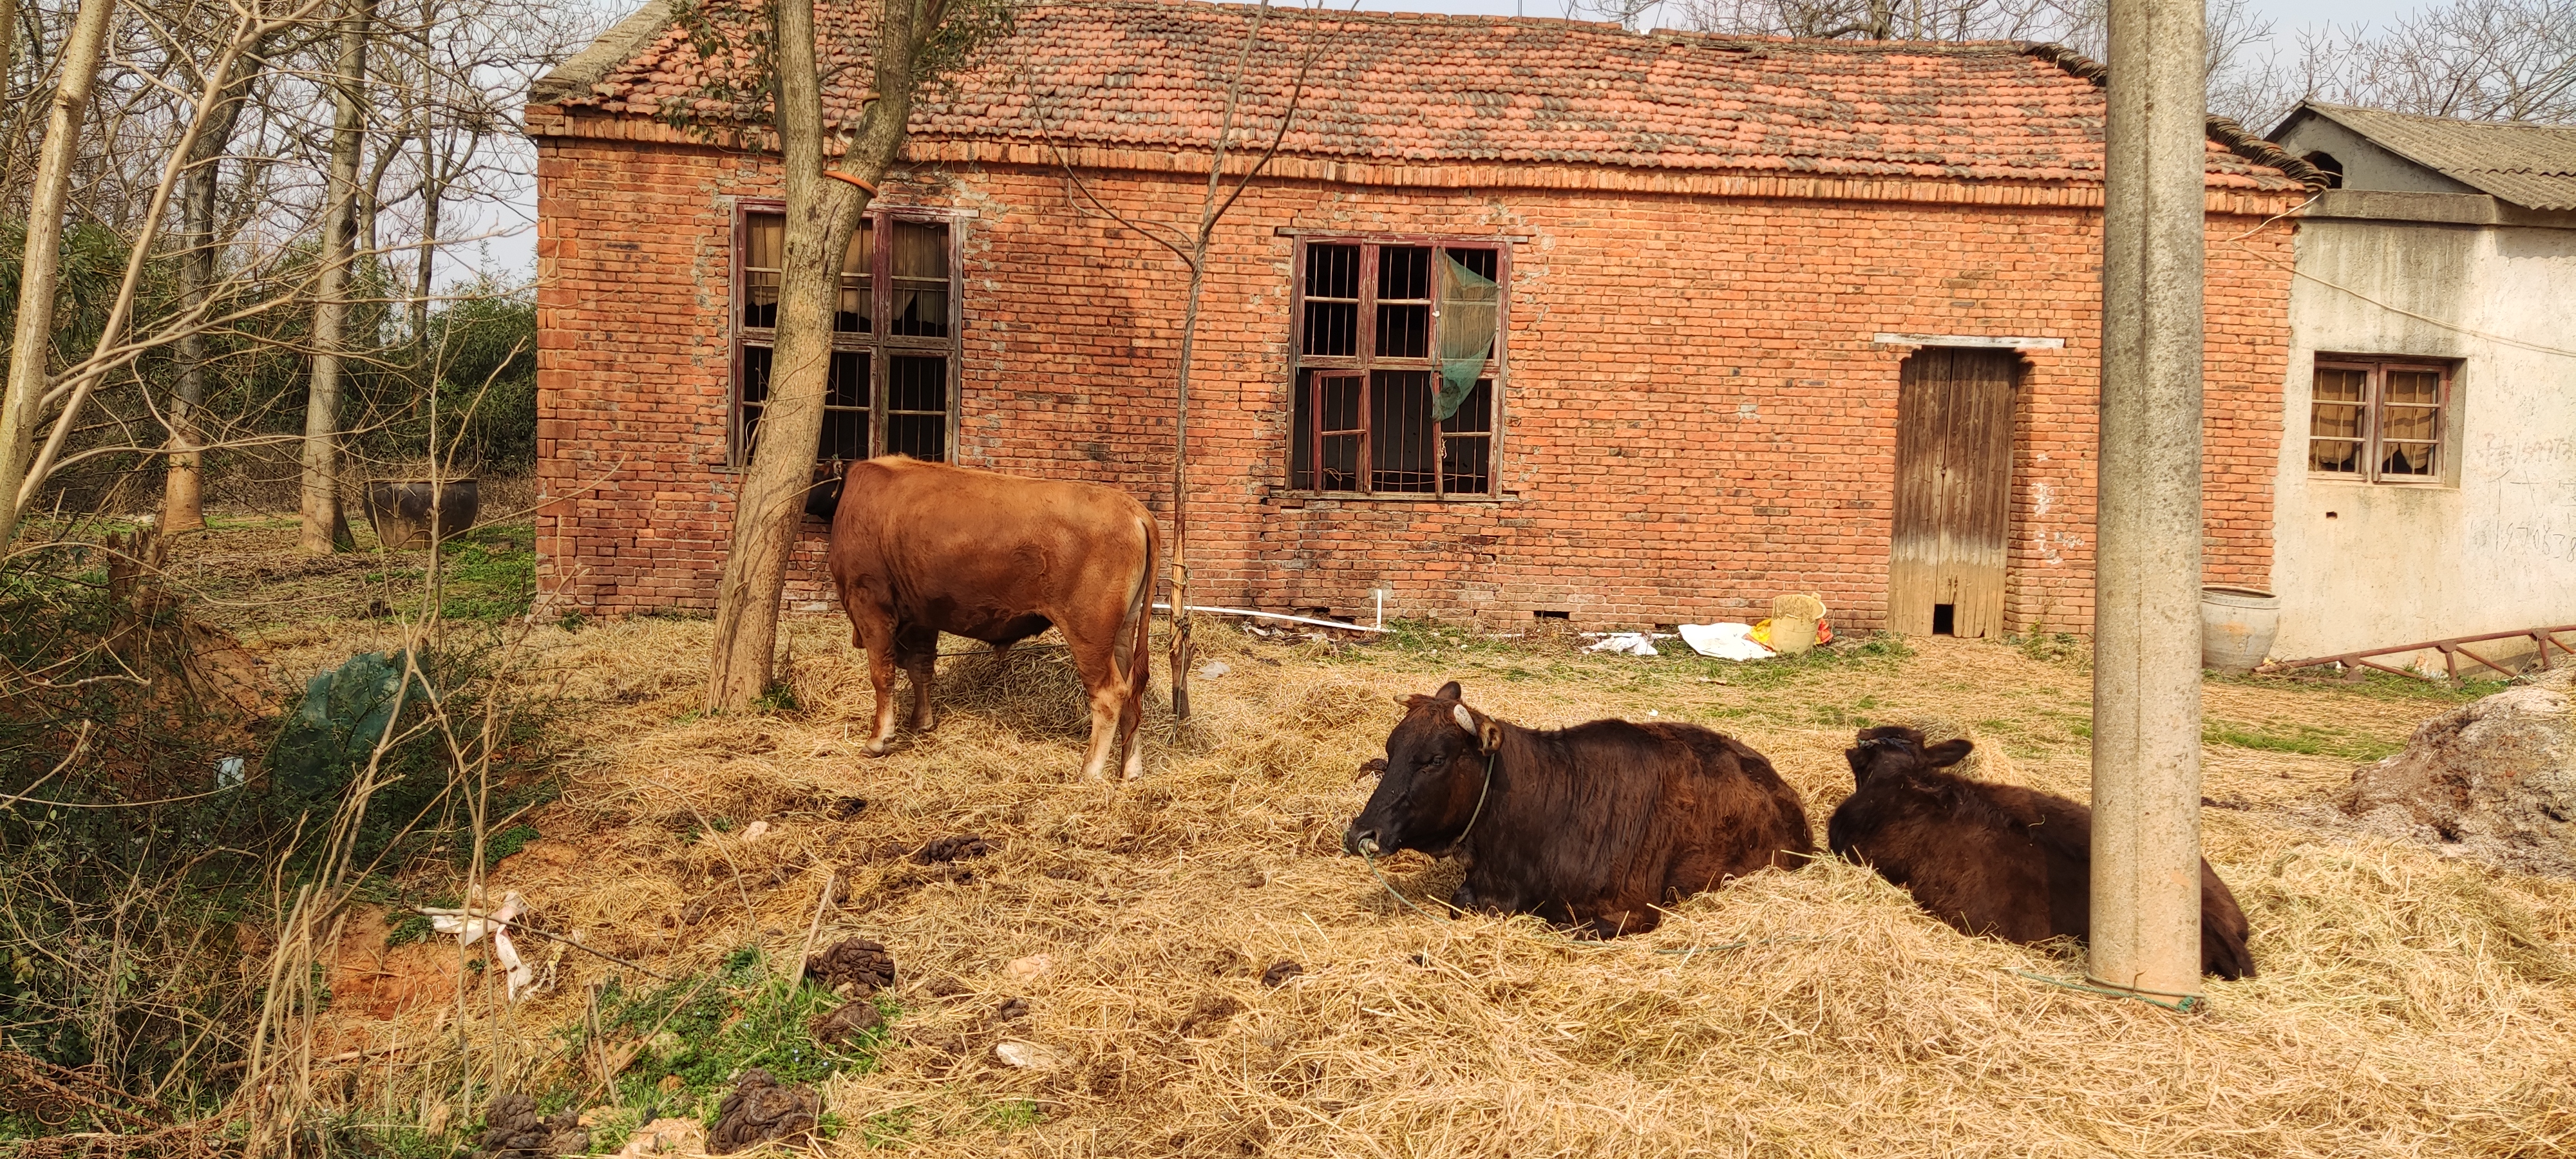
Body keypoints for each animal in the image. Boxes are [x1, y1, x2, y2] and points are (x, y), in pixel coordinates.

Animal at [824, 458, 1159, 783]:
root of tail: (1133, 509)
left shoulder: (870, 604)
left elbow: (882, 675)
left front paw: (877, 739)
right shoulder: (921, 616)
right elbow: (921, 669)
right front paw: (922, 723)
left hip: (1089, 634)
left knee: (1109, 694)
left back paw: (1089, 771)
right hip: (1122, 632)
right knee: (1132, 693)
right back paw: (1130, 771)